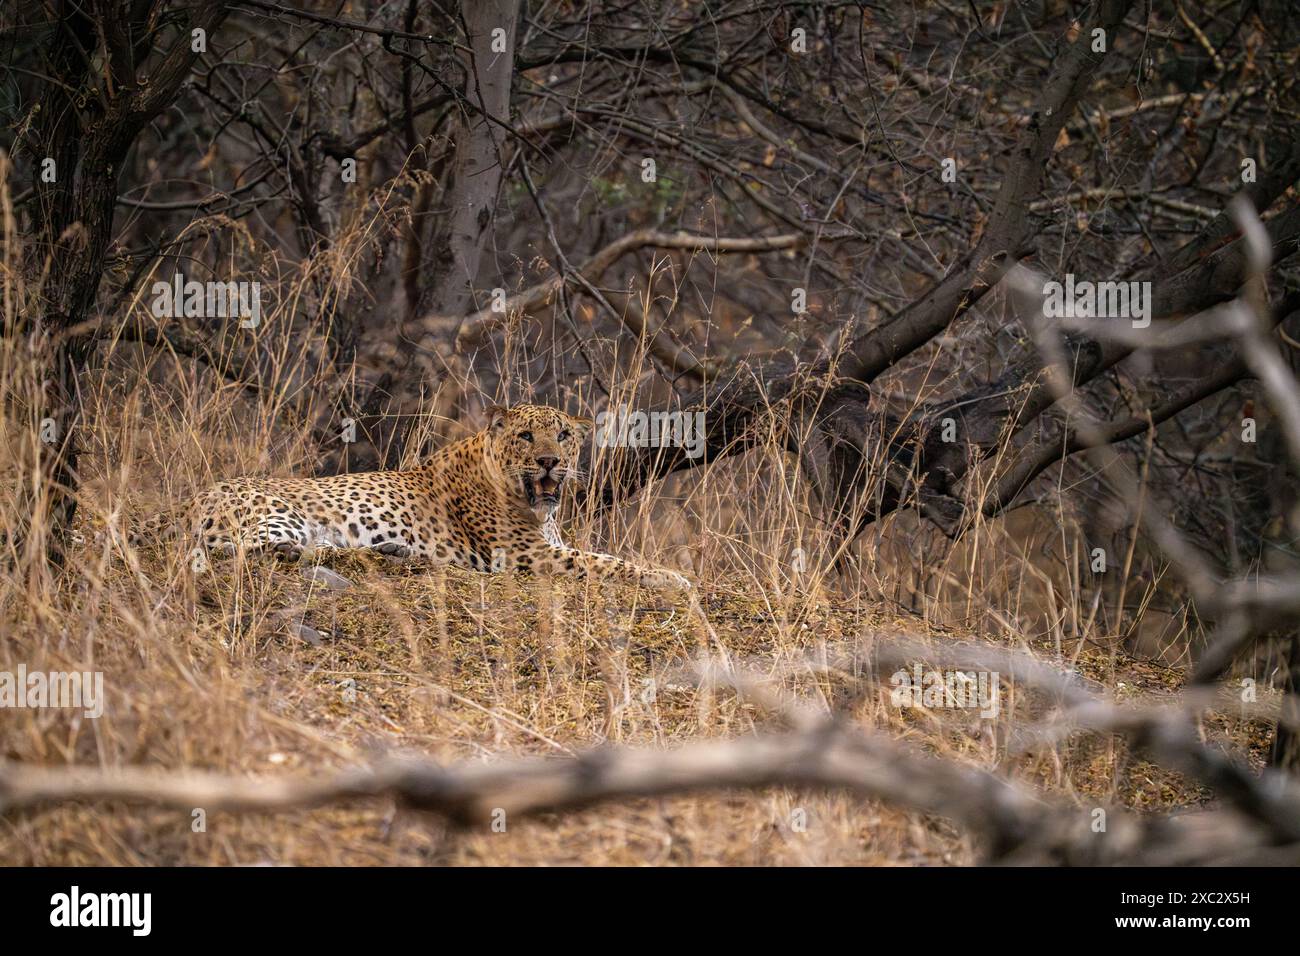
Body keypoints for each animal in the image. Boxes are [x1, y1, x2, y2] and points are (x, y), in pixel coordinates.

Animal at [132, 404, 692, 591]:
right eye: (527, 437)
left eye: (563, 436)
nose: (551, 462)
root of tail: (193, 497)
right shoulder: (526, 556)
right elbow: (607, 562)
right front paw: (674, 578)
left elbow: (605, 557)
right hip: (281, 513)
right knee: (250, 551)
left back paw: (396, 550)